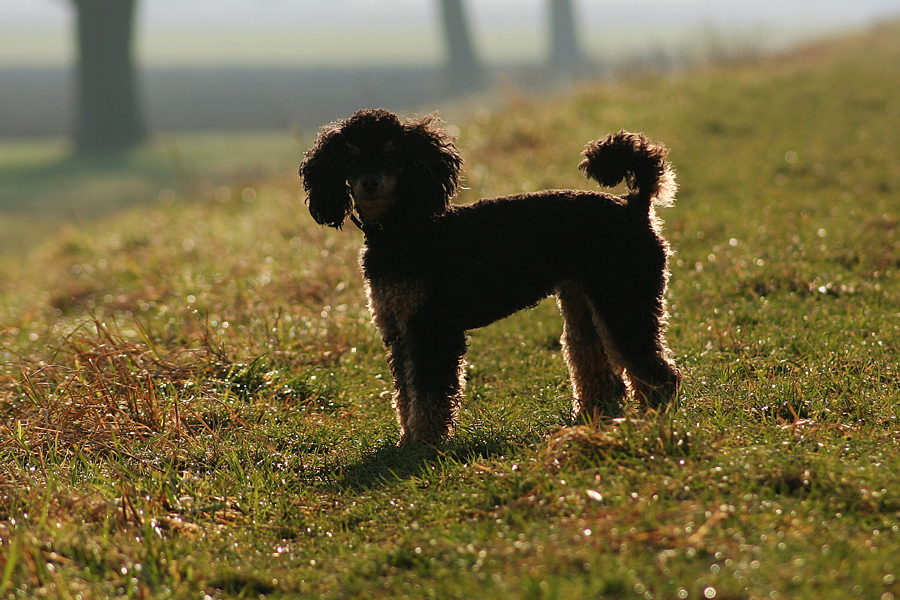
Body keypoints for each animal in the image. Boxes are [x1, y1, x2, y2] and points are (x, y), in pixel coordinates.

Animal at [298, 108, 680, 446]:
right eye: (350, 161)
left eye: (393, 157)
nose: (369, 183)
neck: (407, 230)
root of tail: (635, 206)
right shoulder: (399, 328)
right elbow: (405, 393)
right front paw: (407, 440)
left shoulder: (432, 326)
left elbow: (428, 392)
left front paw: (424, 444)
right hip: (584, 300)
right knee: (596, 365)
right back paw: (593, 416)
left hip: (624, 296)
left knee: (655, 370)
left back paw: (652, 417)